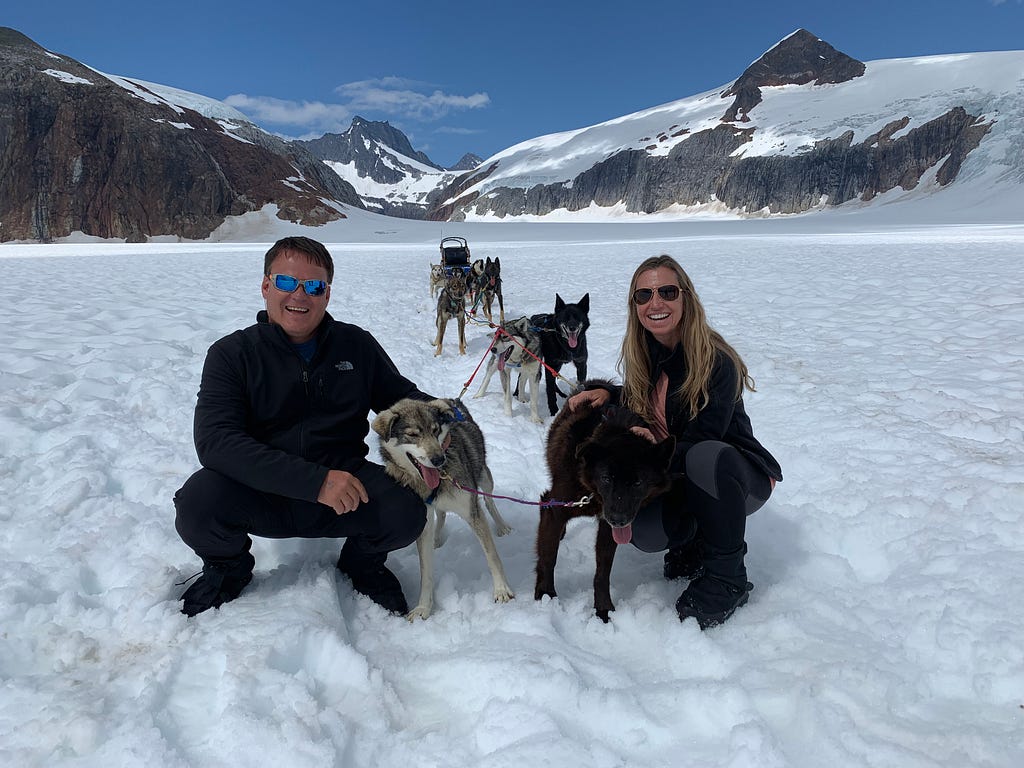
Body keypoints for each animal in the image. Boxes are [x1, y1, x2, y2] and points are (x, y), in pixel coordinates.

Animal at [532, 399, 675, 622]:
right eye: (607, 478)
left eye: (638, 483)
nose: (618, 519)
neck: (592, 494)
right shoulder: (554, 508)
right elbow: (548, 556)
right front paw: (546, 596)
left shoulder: (608, 528)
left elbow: (602, 572)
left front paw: (603, 608)